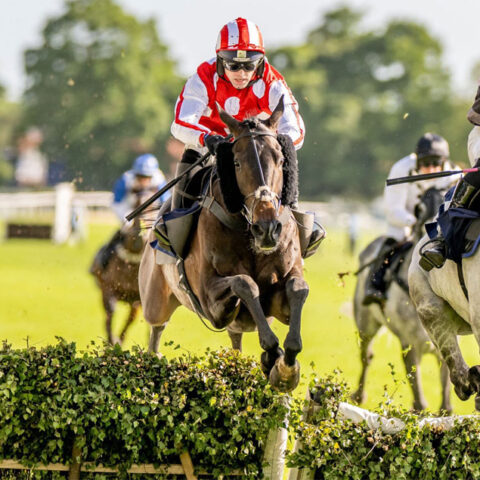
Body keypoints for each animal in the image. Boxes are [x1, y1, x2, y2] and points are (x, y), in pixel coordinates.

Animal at [90, 190, 156, 344]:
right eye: (137, 203)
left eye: (154, 206)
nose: (140, 235)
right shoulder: (107, 288)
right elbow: (110, 313)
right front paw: (111, 340)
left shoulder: (139, 298)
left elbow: (134, 318)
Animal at [140, 98, 308, 394]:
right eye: (237, 162)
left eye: (280, 159)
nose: (267, 228)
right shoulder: (211, 304)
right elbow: (244, 283)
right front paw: (273, 354)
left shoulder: (279, 299)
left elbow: (297, 288)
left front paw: (285, 366)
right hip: (155, 299)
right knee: (156, 330)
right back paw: (154, 357)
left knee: (236, 340)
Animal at [350, 188, 452, 412]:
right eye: (420, 208)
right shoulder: (409, 343)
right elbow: (420, 401)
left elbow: (446, 403)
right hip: (366, 323)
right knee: (366, 356)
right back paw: (359, 396)